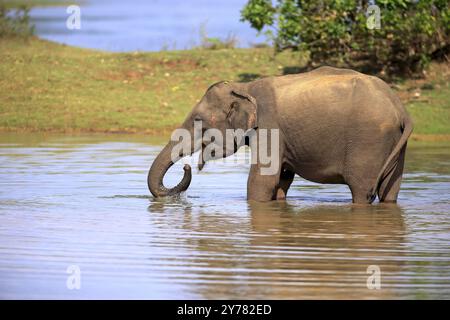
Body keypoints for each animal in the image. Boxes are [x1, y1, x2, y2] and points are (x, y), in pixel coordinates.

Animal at [147, 66, 412, 204]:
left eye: (198, 120)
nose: (187, 167)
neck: (245, 88)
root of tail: (401, 108)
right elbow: (282, 180)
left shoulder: (269, 126)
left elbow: (262, 180)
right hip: (394, 144)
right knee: (389, 191)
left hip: (368, 140)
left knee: (362, 190)